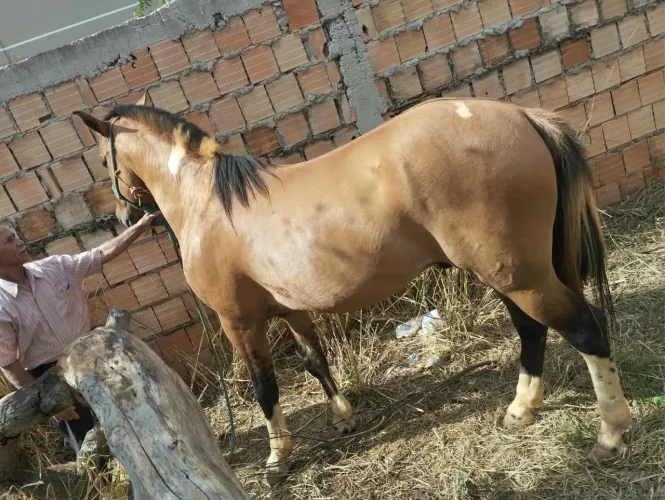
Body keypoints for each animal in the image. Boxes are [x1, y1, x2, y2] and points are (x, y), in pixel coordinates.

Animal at [75, 95, 632, 485]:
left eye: (103, 162)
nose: (123, 215)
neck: (210, 203)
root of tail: (522, 115)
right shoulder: (292, 310)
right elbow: (314, 360)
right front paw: (343, 418)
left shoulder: (241, 322)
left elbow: (264, 386)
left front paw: (278, 457)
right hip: (512, 276)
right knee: (530, 330)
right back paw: (522, 410)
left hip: (520, 277)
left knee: (583, 330)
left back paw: (610, 434)